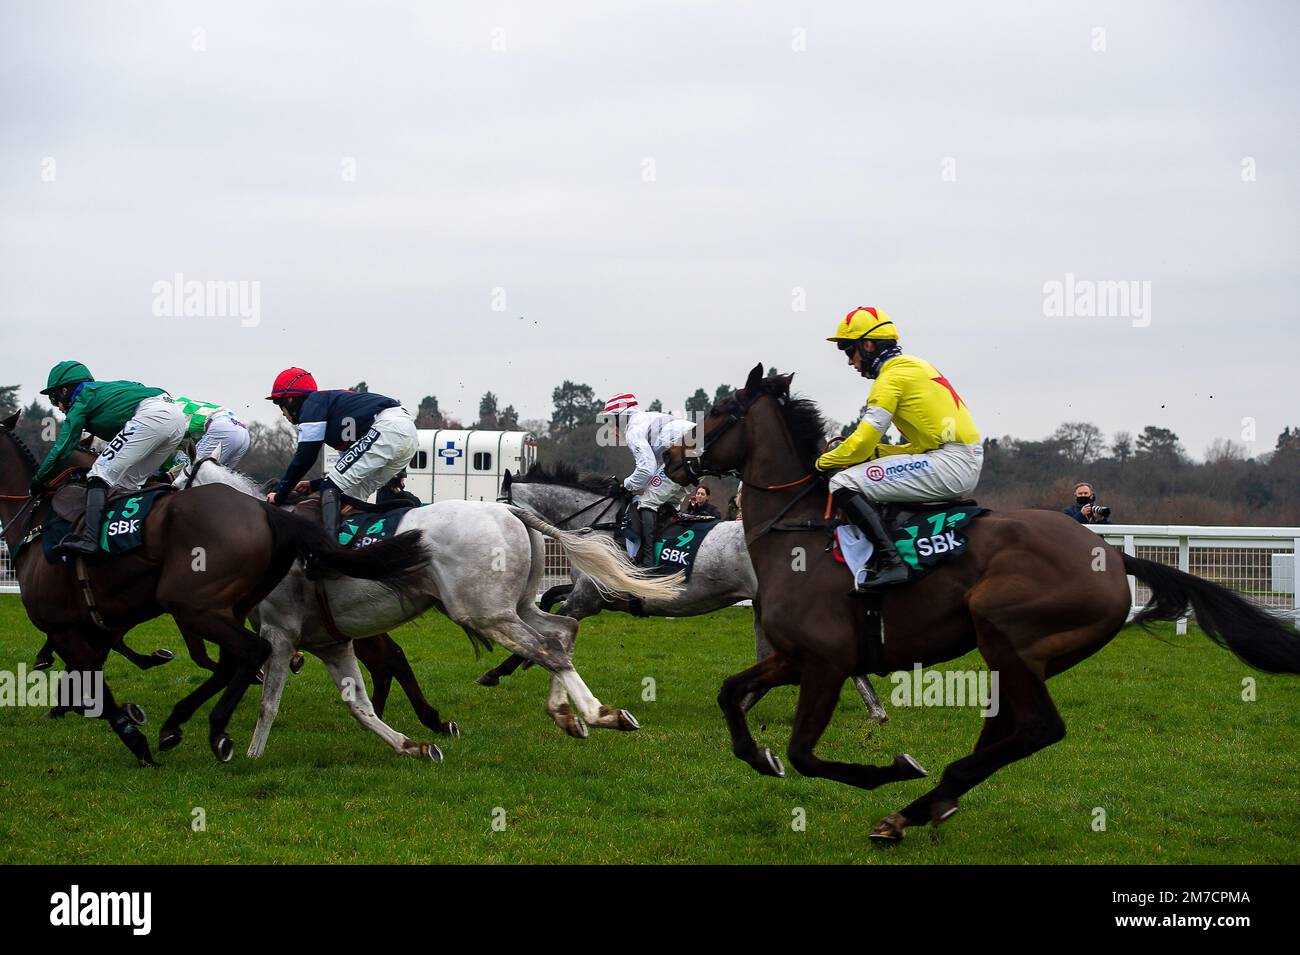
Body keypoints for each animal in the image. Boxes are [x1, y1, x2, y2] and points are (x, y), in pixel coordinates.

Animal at [665, 366, 1300, 841]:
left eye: (718, 413)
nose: (672, 459)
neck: (794, 535)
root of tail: (1111, 556)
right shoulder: (794, 657)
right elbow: (730, 694)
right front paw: (757, 755)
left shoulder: (826, 661)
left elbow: (803, 753)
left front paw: (889, 769)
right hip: (1026, 656)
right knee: (1006, 729)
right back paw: (926, 806)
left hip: (1003, 629)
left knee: (1039, 727)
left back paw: (922, 799)